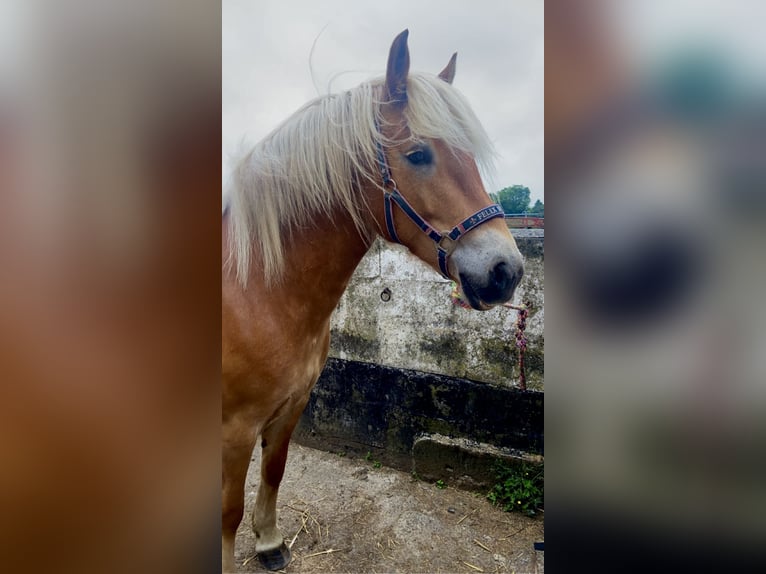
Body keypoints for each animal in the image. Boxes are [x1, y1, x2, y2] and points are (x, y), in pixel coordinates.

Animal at [219, 31, 524, 574]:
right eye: (418, 154)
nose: (504, 272)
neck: (257, 293)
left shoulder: (291, 408)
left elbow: (274, 471)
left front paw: (270, 543)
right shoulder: (235, 428)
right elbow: (228, 513)